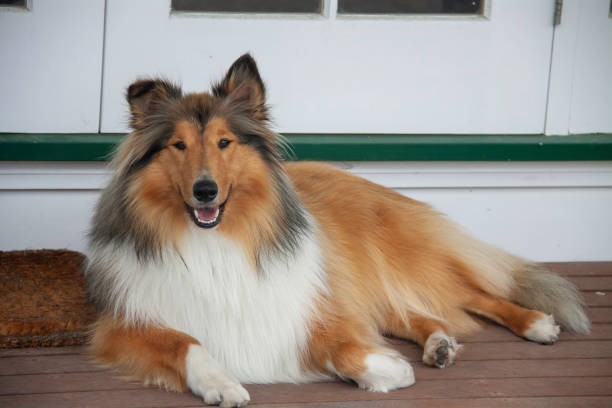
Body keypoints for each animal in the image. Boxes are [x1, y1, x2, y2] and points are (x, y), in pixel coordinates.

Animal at [85, 55, 588, 408]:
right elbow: (187, 342)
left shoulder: (309, 304)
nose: (204, 191)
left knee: (471, 294)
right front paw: (221, 382)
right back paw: (439, 343)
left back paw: (535, 323)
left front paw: (386, 369)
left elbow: (341, 347)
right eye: (178, 145)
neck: (216, 239)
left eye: (224, 142)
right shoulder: (126, 322)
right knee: (417, 313)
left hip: (397, 261)